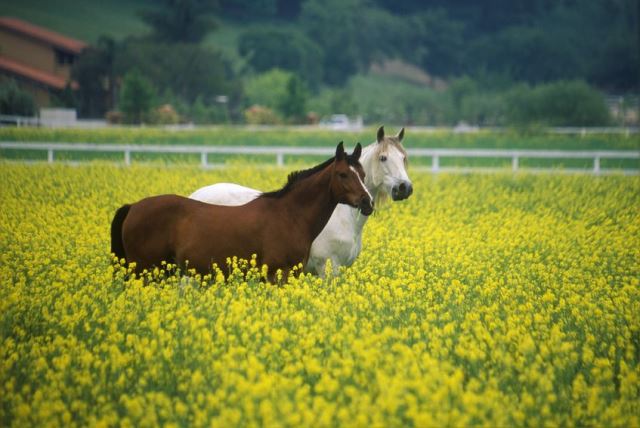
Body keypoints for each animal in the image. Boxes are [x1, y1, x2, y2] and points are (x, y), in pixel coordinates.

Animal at [109, 141, 370, 280]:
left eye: (363, 173)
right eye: (343, 174)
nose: (368, 202)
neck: (290, 216)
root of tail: (133, 208)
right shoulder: (277, 275)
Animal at [189, 125, 416, 276]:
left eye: (404, 158)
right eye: (383, 158)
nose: (404, 188)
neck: (344, 217)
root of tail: (193, 197)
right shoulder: (326, 269)